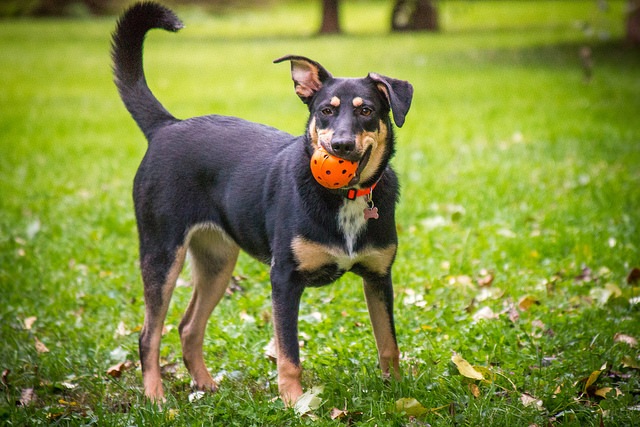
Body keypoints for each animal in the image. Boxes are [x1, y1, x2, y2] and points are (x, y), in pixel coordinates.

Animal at [111, 1, 413, 406]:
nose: (341, 146)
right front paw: (295, 402)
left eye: (366, 111)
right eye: (325, 111)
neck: (344, 198)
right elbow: (288, 354)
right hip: (162, 253)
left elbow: (388, 345)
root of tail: (165, 126)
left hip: (217, 261)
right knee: (149, 334)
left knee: (188, 326)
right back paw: (156, 398)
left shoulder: (379, 277)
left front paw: (398, 395)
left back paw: (204, 385)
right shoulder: (284, 278)